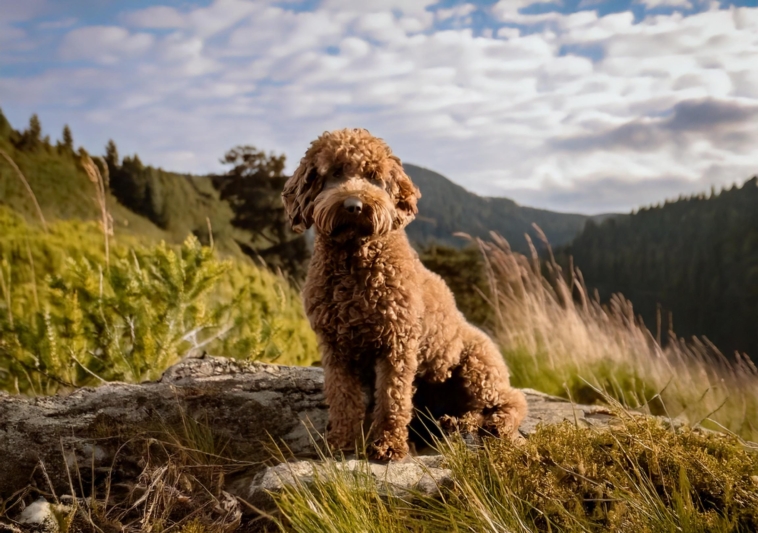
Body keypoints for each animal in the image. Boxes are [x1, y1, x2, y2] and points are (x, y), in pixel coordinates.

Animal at [284, 129, 528, 462]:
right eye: (334, 173)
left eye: (374, 176)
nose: (353, 205)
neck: (355, 261)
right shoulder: (336, 346)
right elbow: (343, 396)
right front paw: (342, 442)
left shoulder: (396, 343)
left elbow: (392, 400)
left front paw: (388, 445)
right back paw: (458, 421)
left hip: (478, 368)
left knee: (512, 399)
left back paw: (495, 423)